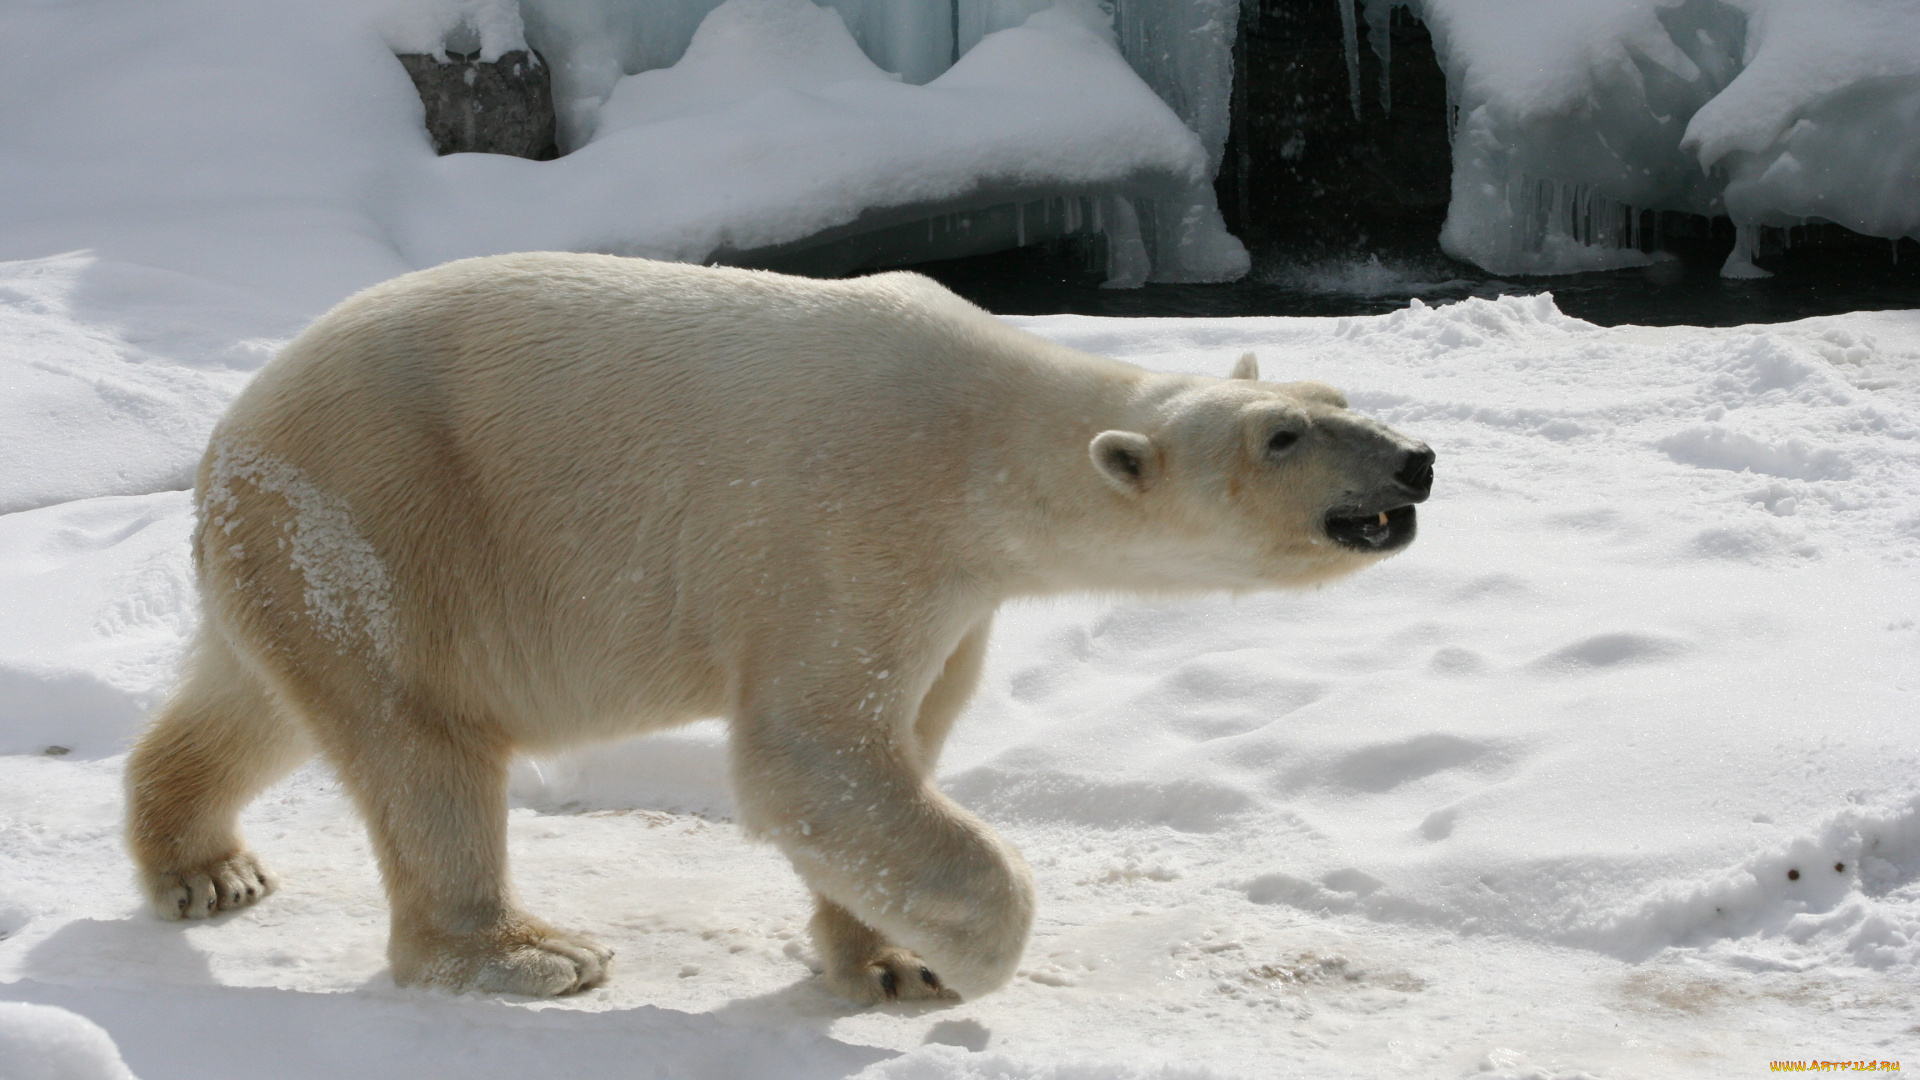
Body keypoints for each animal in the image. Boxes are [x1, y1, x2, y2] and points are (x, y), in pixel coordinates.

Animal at [123, 251, 1428, 999]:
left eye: (1334, 399)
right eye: (1282, 437)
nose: (1414, 460)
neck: (982, 438)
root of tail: (227, 438)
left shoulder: (955, 592)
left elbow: (899, 750)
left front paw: (887, 956)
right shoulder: (855, 523)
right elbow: (812, 755)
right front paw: (967, 957)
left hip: (298, 551)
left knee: (255, 701)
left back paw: (206, 867)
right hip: (385, 519)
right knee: (420, 746)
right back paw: (529, 953)